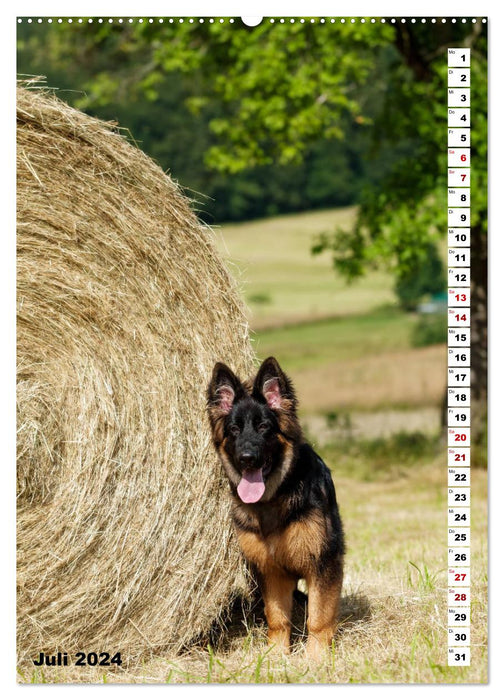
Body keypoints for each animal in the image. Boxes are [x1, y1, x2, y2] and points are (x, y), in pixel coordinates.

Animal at [207, 358, 344, 660]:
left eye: (263, 427)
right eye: (234, 430)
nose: (247, 459)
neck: (273, 498)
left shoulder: (323, 562)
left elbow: (318, 617)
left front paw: (315, 659)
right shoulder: (271, 570)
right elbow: (278, 618)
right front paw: (276, 656)